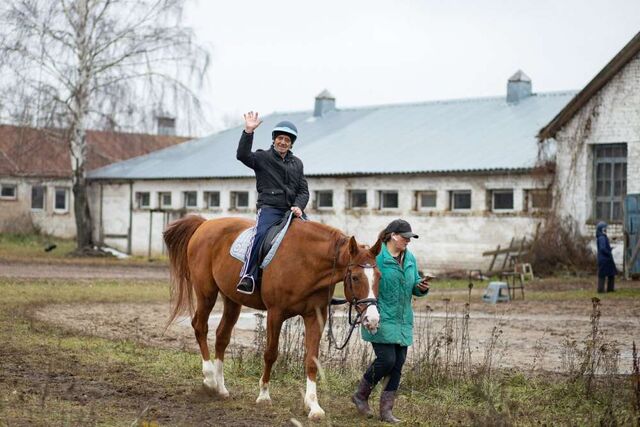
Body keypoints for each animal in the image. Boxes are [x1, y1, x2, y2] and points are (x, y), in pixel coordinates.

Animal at [162, 217, 380, 422]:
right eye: (355, 278)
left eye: (378, 276)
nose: (373, 319)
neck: (307, 262)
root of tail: (205, 224)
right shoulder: (276, 313)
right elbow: (270, 354)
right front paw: (264, 396)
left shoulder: (315, 316)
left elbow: (312, 359)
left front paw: (314, 406)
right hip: (206, 292)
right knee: (200, 326)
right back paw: (209, 380)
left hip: (232, 300)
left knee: (222, 337)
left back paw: (221, 388)